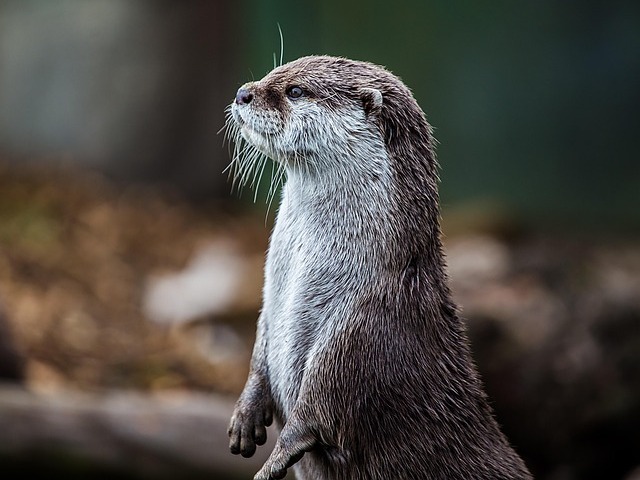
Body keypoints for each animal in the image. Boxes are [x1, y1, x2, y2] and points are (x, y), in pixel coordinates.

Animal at [226, 55, 532, 480]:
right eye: (275, 72)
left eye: (295, 90)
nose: (242, 92)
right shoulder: (270, 301)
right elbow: (260, 347)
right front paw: (245, 416)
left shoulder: (360, 326)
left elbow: (317, 408)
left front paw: (275, 460)